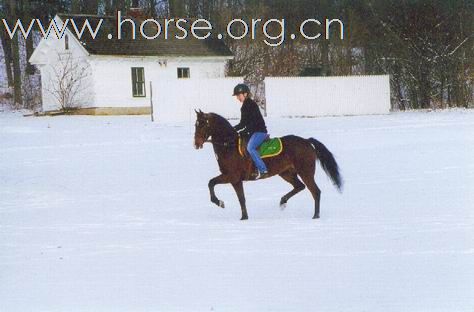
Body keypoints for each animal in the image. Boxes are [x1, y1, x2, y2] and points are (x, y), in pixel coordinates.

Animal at [193, 109, 344, 219]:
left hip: (305, 172)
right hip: (286, 173)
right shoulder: (235, 180)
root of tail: (306, 141)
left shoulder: (232, 176)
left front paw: (220, 203)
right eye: (196, 124)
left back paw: (315, 216)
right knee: (300, 187)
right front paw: (243, 217)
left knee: (315, 192)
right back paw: (283, 202)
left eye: (203, 124)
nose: (196, 143)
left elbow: (212, 183)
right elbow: (240, 198)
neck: (229, 145)